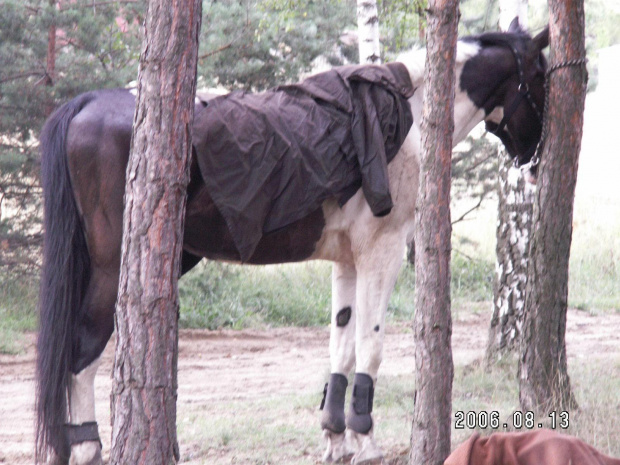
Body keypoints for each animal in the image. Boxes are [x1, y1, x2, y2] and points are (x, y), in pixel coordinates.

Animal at [35, 20, 548, 464]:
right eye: (541, 76)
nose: (535, 162)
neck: (411, 113)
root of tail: (87, 103)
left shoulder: (347, 262)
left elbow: (341, 347)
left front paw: (336, 439)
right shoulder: (381, 253)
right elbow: (370, 345)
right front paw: (365, 441)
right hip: (110, 269)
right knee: (80, 352)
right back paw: (86, 447)